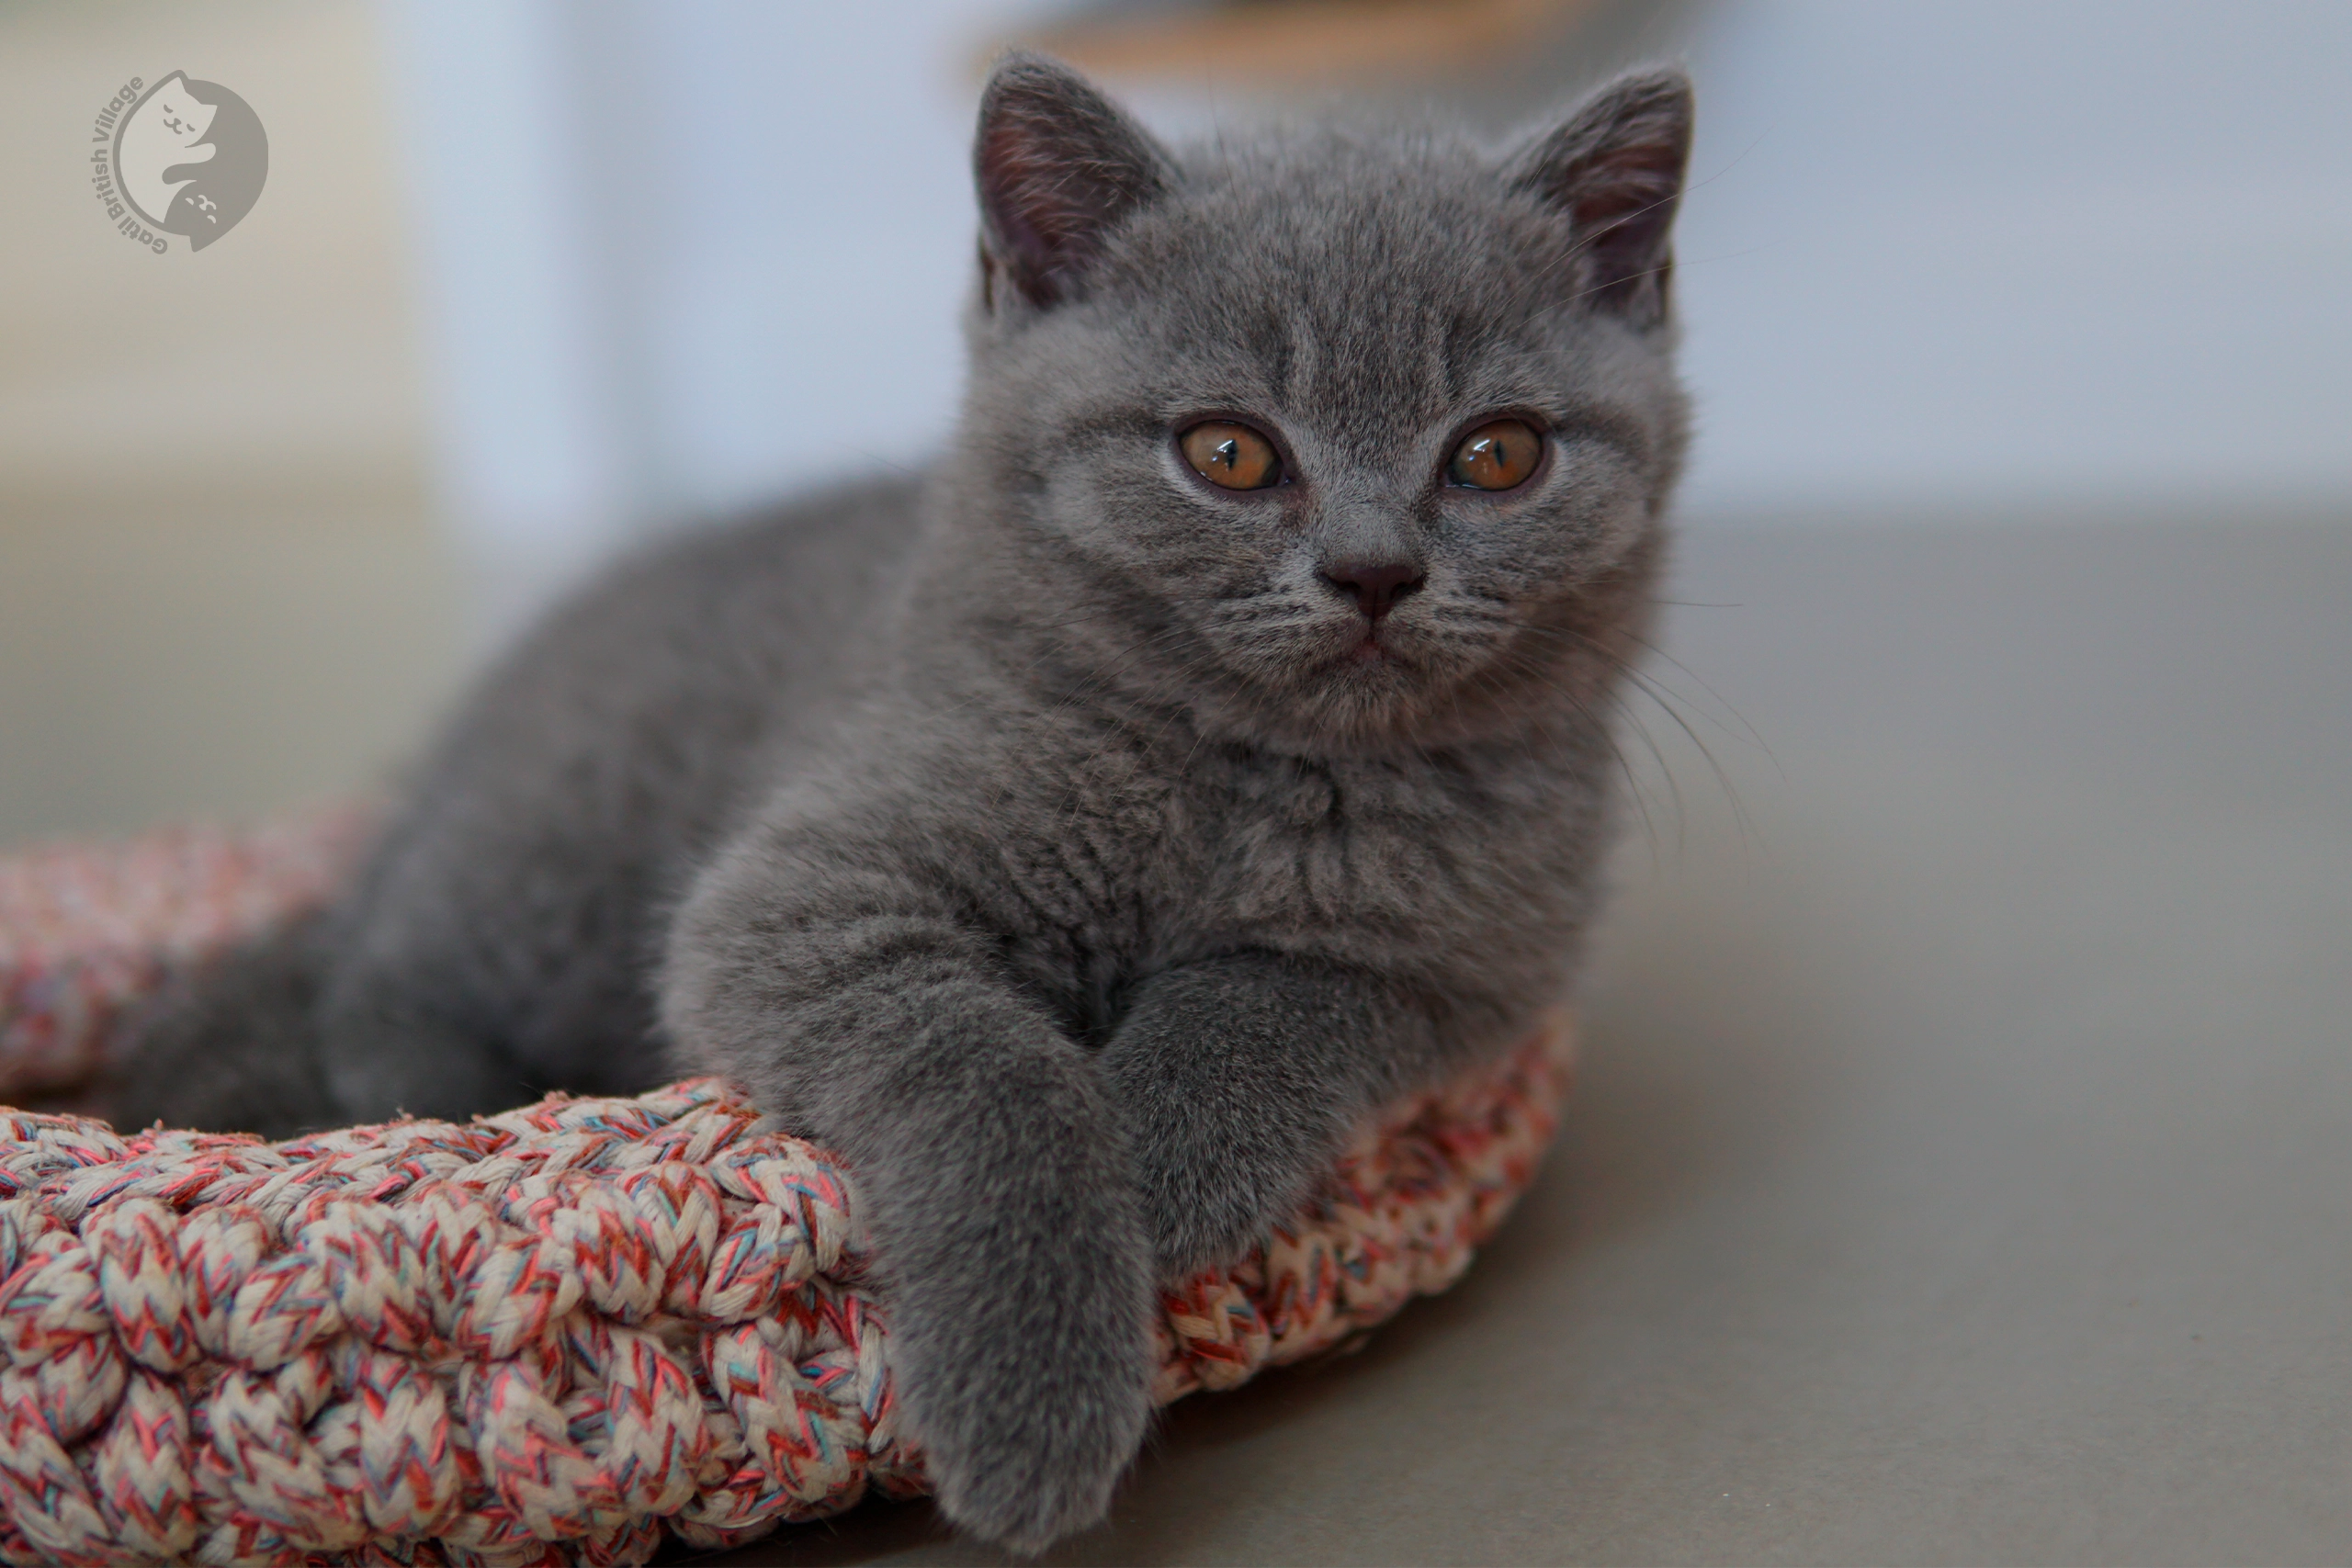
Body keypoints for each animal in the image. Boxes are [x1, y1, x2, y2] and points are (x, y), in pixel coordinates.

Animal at [119, 58, 1693, 1561]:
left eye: (1497, 452)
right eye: (1231, 452)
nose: (1374, 571)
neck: (1263, 776)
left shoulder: (1475, 957)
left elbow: (1278, 999)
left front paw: (1157, 1157)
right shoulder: (809, 886)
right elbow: (992, 1067)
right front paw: (1039, 1388)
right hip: (536, 852)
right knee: (381, 986)